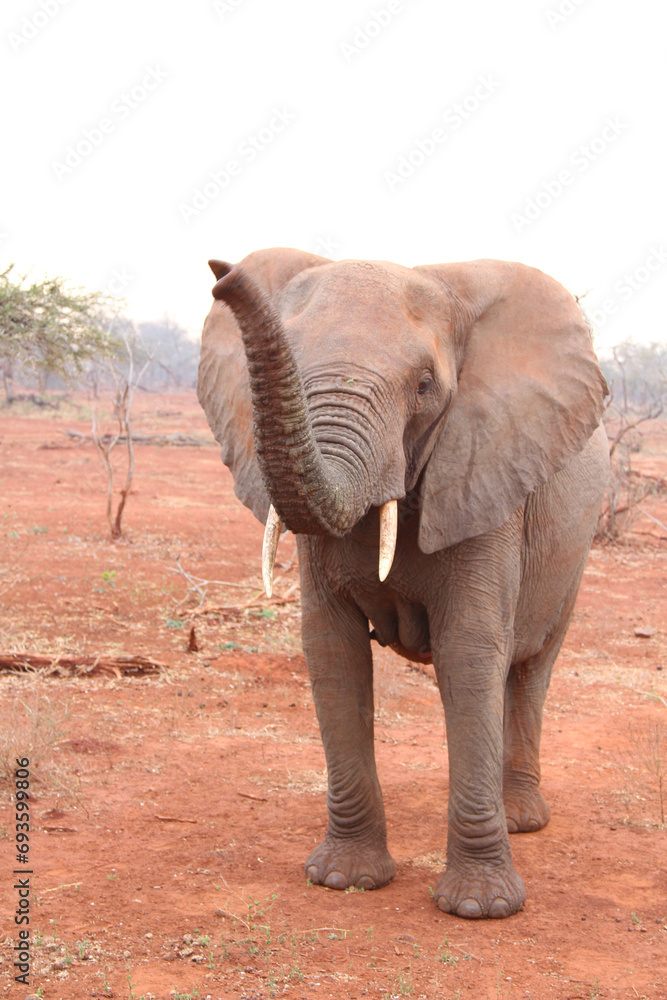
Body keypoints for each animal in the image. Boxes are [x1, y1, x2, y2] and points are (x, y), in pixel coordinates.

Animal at [197, 247, 609, 919]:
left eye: (424, 386)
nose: (223, 270)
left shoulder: (484, 473)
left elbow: (469, 650)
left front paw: (480, 908)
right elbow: (331, 650)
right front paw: (343, 879)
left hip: (575, 548)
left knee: (529, 668)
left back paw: (521, 818)